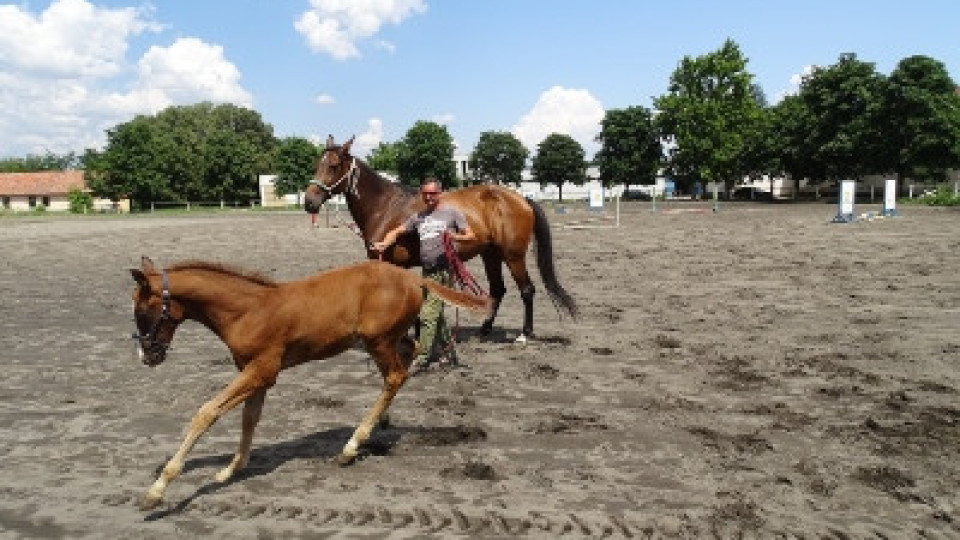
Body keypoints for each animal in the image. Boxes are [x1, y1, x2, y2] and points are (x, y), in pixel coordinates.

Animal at [127, 255, 488, 508]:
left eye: (142, 310)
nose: (146, 356)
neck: (247, 311)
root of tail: (412, 275)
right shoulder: (255, 372)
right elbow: (249, 419)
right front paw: (232, 468)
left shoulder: (262, 370)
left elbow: (206, 413)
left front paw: (157, 490)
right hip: (386, 339)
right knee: (407, 353)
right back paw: (381, 422)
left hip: (378, 341)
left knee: (396, 376)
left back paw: (351, 446)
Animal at [306, 134, 576, 342]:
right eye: (317, 164)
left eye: (333, 166)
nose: (309, 202)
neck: (385, 207)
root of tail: (522, 199)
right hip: (490, 254)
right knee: (498, 289)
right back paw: (485, 329)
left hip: (513, 256)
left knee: (527, 290)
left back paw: (524, 334)